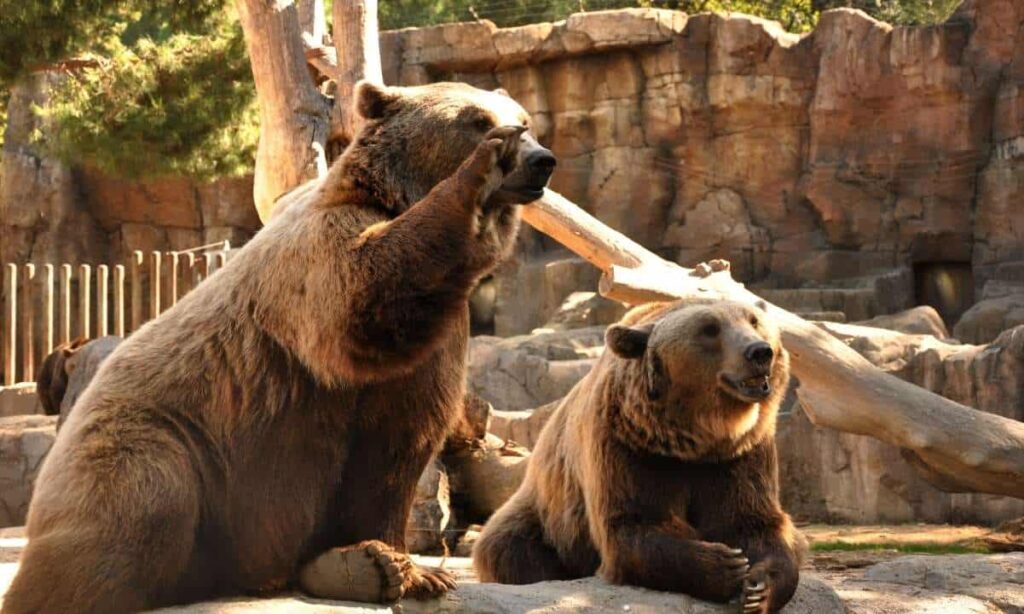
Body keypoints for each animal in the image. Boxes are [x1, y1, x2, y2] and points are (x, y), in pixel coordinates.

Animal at [2, 80, 556, 613]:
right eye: (477, 119)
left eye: (525, 121)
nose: (541, 160)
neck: (390, 199)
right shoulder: (321, 258)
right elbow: (359, 296)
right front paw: (479, 177)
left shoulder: (433, 347)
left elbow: (393, 453)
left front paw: (405, 568)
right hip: (164, 442)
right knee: (135, 513)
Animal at [473, 295, 805, 614]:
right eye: (709, 328)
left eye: (754, 321)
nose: (759, 352)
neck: (697, 437)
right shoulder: (629, 446)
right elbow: (633, 524)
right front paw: (725, 565)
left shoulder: (740, 454)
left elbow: (753, 521)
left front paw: (759, 589)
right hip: (545, 517)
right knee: (508, 547)